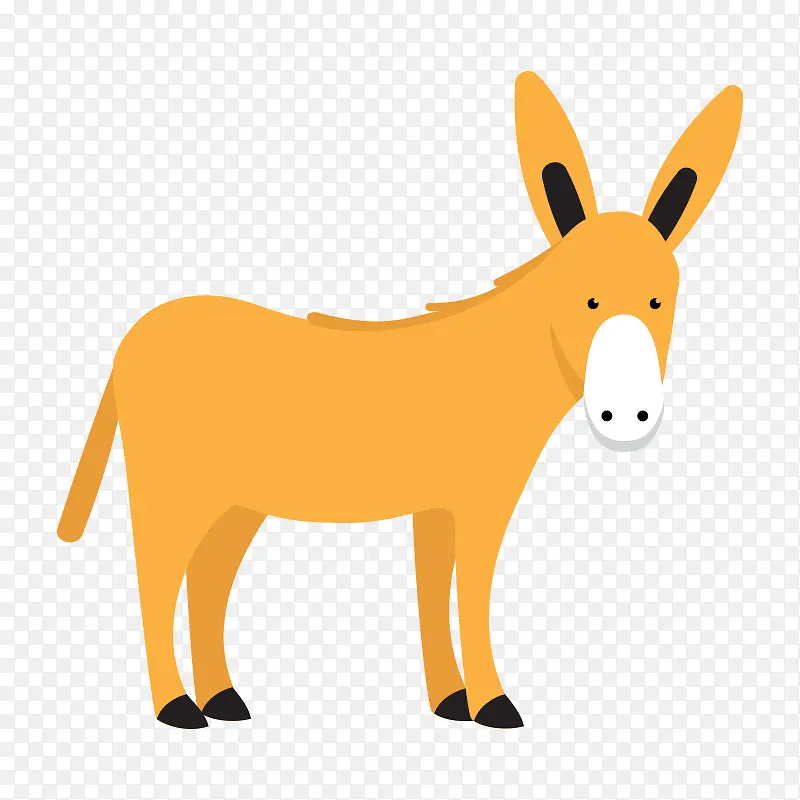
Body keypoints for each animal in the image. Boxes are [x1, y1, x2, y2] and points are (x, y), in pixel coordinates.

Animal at [58, 72, 743, 729]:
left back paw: (221, 699)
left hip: (237, 499)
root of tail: (130, 340)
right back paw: (176, 708)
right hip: (177, 489)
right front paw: (494, 704)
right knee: (157, 579)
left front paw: (452, 700)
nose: (627, 417)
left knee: (207, 580)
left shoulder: (437, 506)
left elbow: (432, 592)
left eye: (661, 300)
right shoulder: (479, 501)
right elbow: (469, 593)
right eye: (589, 300)